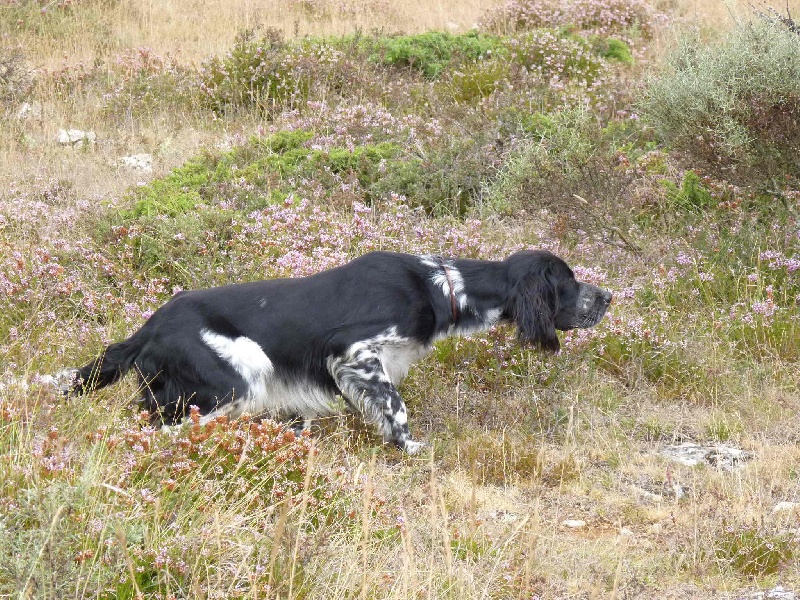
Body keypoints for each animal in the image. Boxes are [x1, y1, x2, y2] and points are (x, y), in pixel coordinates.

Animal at [67, 250, 612, 454]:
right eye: (568, 281)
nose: (607, 297)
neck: (444, 288)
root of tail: (147, 328)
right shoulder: (351, 351)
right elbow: (396, 407)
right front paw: (409, 447)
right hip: (238, 376)